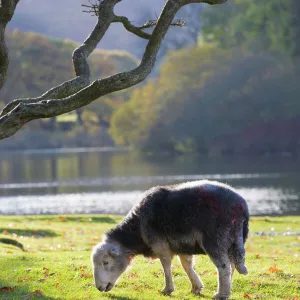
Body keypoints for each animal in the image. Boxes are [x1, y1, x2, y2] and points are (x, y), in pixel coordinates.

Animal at [91, 179, 248, 298]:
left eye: (106, 262)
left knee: (224, 267)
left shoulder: (160, 244)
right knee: (231, 265)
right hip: (232, 241)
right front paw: (196, 287)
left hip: (215, 240)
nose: (99, 288)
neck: (137, 229)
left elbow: (166, 265)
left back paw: (222, 294)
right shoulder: (183, 245)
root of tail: (239, 208)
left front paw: (167, 289)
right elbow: (186, 265)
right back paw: (227, 289)